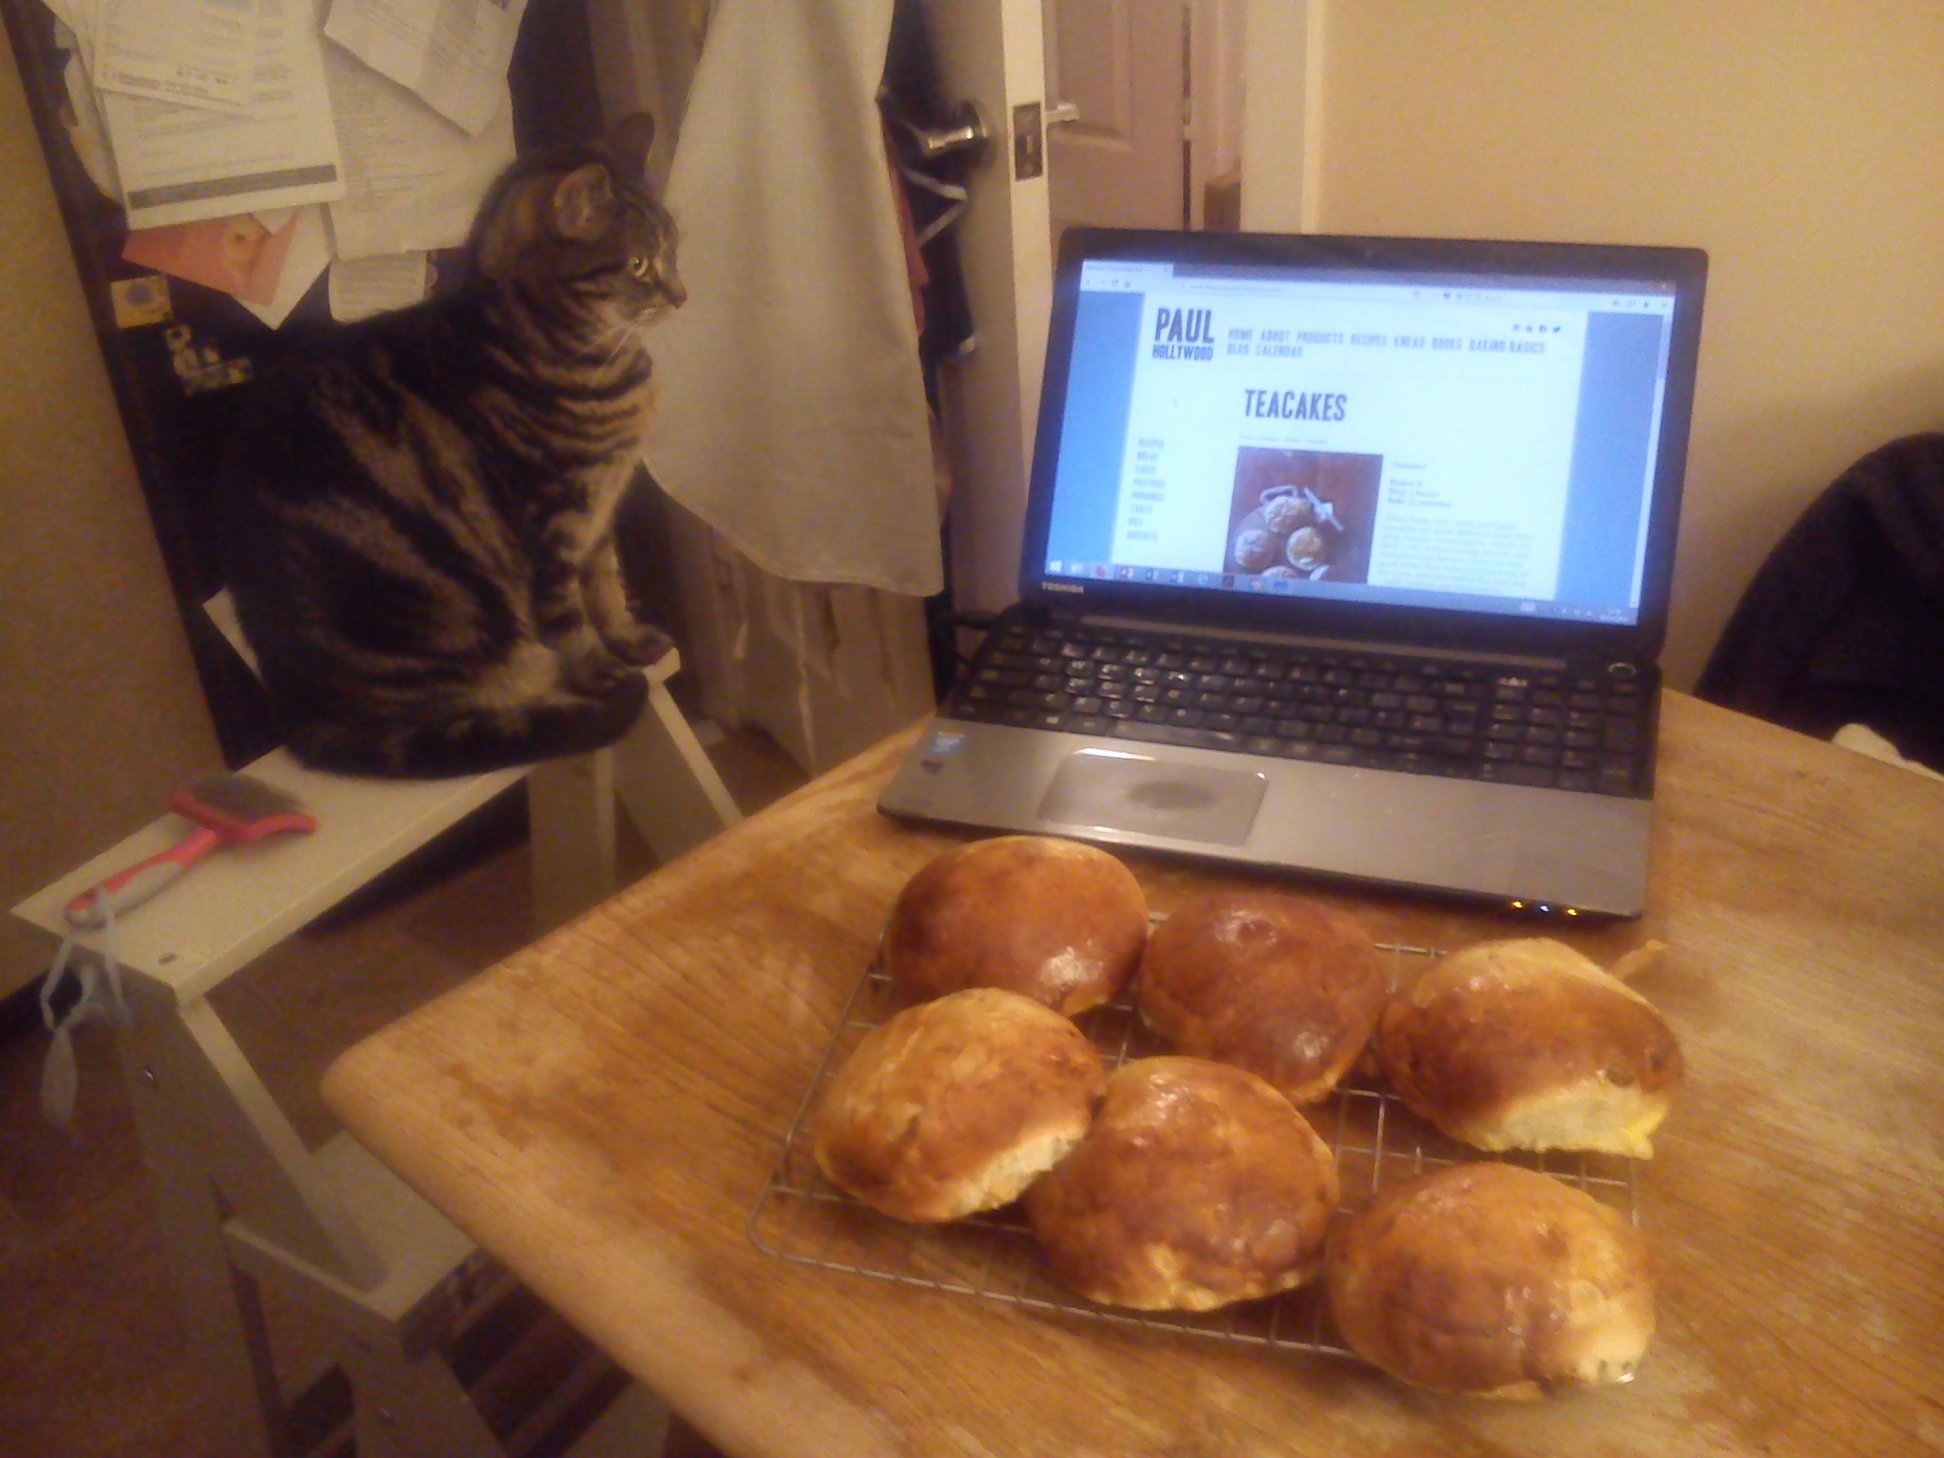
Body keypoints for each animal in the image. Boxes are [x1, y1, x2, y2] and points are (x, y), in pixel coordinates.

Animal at [222, 115, 684, 781]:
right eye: (641, 264)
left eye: (672, 251)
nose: (681, 294)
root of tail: (298, 714)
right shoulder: (553, 520)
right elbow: (570, 617)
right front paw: (603, 669)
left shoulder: (597, 515)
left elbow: (607, 587)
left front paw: (628, 638)